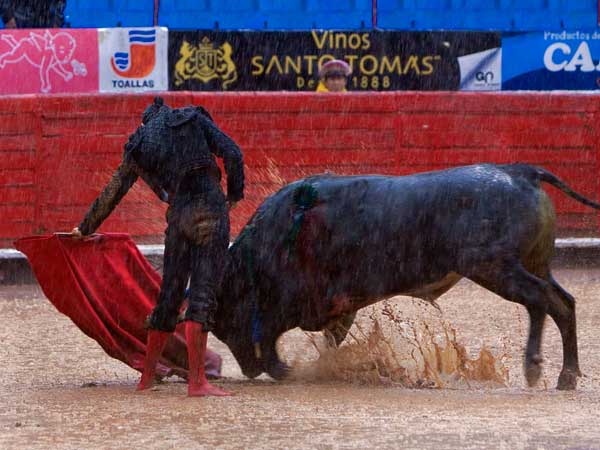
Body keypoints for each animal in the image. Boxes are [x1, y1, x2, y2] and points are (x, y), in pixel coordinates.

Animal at [211, 163, 600, 388]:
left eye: (226, 321)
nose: (247, 369)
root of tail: (522, 173)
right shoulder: (339, 307)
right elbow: (330, 339)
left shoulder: (303, 302)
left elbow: (272, 334)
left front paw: (284, 369)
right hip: (533, 263)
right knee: (563, 303)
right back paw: (567, 376)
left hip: (494, 267)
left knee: (539, 298)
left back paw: (533, 367)